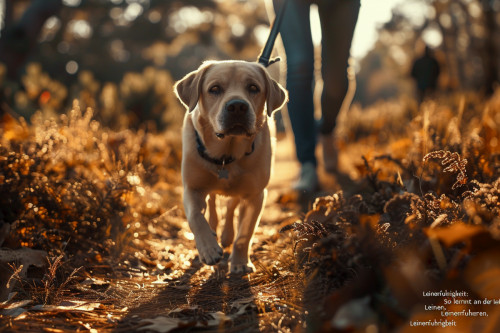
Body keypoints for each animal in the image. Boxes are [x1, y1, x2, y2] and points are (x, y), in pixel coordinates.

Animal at [175, 59, 286, 272]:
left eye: (253, 88)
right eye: (214, 89)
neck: (227, 155)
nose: (237, 106)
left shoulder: (255, 195)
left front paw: (240, 262)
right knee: (212, 203)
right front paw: (208, 249)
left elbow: (245, 233)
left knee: (231, 206)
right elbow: (195, 217)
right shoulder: (192, 188)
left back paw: (226, 236)